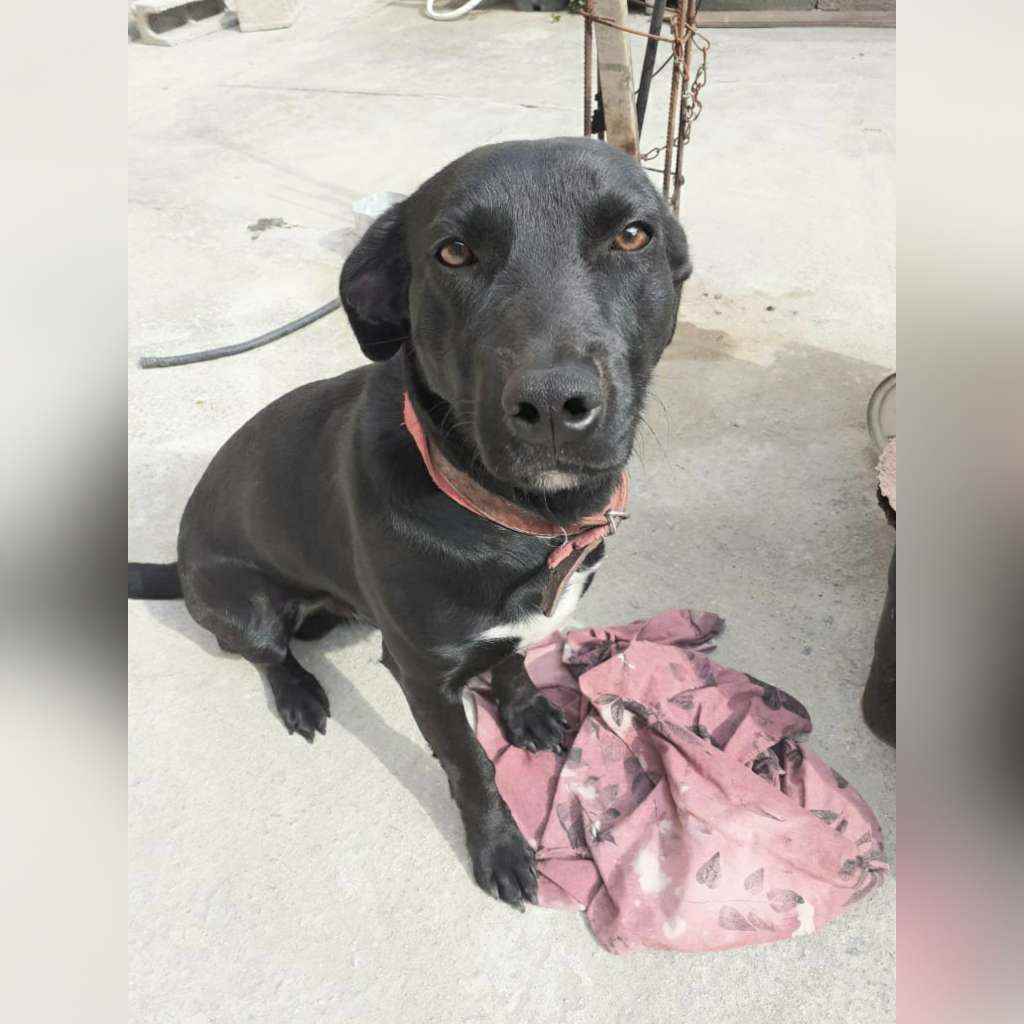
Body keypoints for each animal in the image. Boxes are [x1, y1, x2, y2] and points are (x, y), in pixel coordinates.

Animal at [129, 137, 692, 908]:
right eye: (453, 252)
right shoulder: (423, 675)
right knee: (266, 652)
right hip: (244, 604)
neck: (523, 522)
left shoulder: (509, 630)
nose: (553, 404)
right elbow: (470, 767)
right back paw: (299, 695)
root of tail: (178, 565)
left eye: (633, 235)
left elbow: (512, 661)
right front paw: (499, 848)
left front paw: (524, 711)